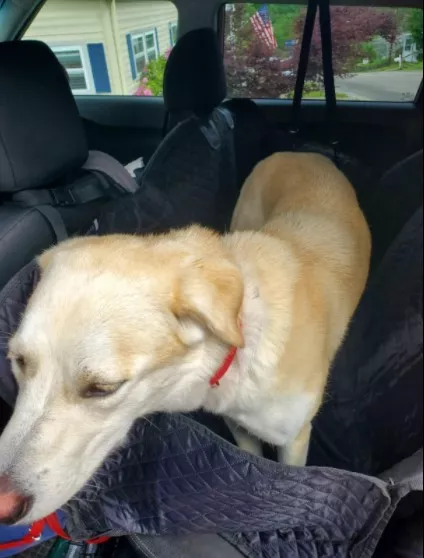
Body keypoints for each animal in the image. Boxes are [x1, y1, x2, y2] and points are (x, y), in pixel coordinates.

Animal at [0, 152, 371, 525]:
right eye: (18, 362)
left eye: (103, 388)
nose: (2, 506)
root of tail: (305, 152)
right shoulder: (238, 426)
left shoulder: (294, 440)